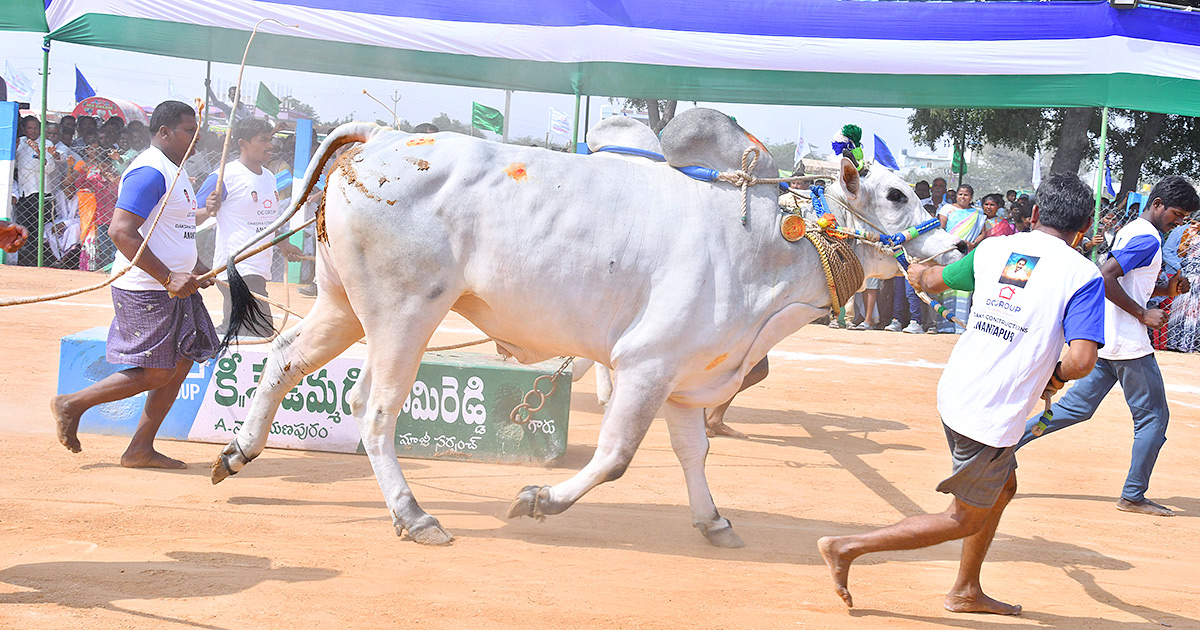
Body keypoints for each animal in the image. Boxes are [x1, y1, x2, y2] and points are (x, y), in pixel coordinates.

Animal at [216, 110, 960, 547]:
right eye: (896, 194)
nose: (956, 246)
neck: (766, 243)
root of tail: (386, 138)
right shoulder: (645, 363)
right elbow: (616, 456)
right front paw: (539, 498)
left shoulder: (686, 375)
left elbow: (694, 453)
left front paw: (713, 520)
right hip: (404, 312)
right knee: (373, 408)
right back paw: (413, 514)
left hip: (342, 303)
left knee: (282, 357)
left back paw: (239, 451)